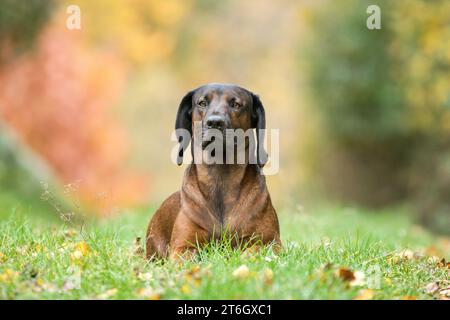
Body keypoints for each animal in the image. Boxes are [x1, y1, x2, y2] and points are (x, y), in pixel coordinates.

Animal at [146, 83, 280, 260]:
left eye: (236, 104)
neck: (220, 175)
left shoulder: (271, 242)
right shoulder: (182, 246)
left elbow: (255, 250)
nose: (215, 123)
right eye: (202, 103)